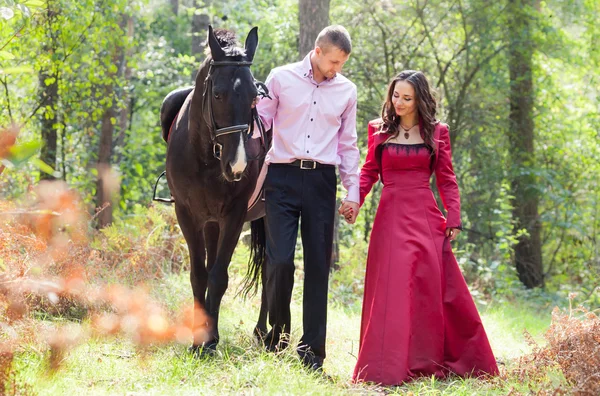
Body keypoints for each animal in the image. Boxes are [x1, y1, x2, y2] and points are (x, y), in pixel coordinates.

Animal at [162, 25, 270, 352]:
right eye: (218, 94)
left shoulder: (234, 216)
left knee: (271, 271)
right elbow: (200, 274)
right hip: (210, 221)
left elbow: (218, 276)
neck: (205, 156)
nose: (237, 165)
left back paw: (263, 332)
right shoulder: (188, 214)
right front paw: (201, 336)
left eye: (254, 97)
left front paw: (208, 342)